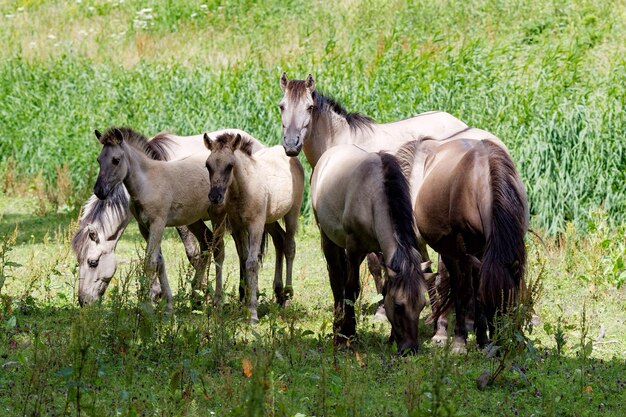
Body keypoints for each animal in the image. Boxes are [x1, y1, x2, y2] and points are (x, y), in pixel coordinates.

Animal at [394, 137, 528, 352]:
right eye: (492, 306)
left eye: (510, 302)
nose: (499, 346)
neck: (480, 180)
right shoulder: (464, 249)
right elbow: (466, 293)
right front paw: (460, 342)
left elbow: (476, 293)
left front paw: (482, 340)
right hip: (439, 246)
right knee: (449, 283)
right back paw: (445, 334)